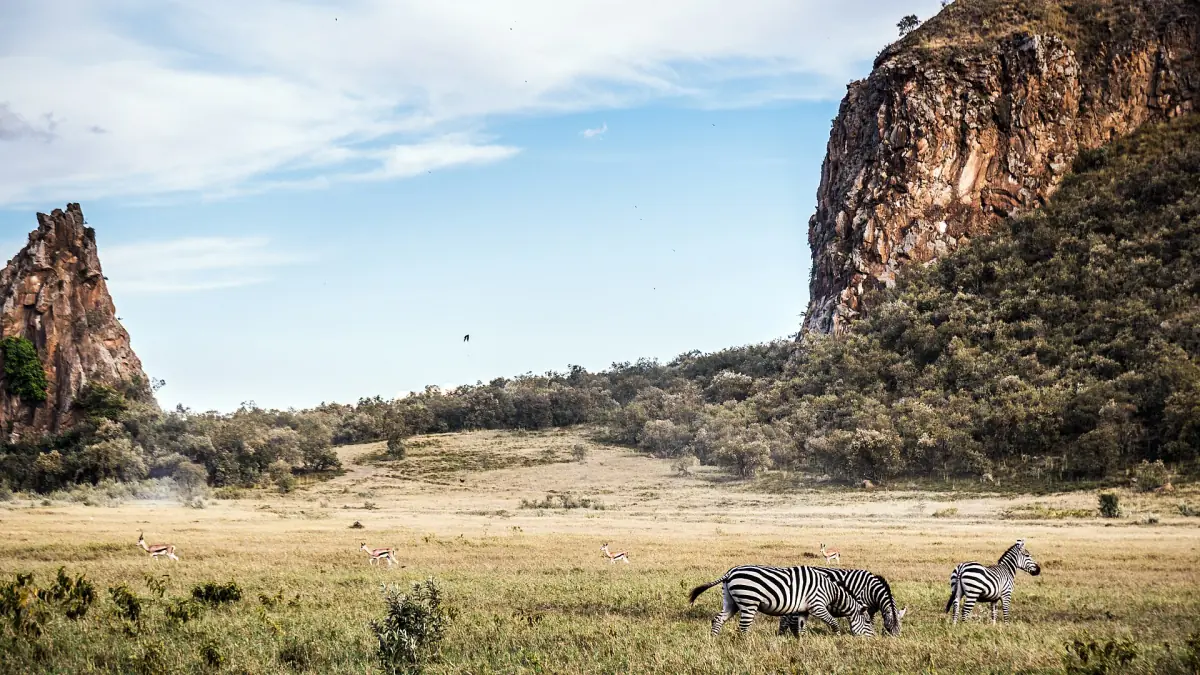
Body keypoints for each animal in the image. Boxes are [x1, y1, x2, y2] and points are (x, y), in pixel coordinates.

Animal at [688, 565, 873, 637]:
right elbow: (833, 622)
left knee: (718, 619)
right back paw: (746, 646)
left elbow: (801, 627)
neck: (831, 590)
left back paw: (714, 639)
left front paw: (801, 642)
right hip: (749, 602)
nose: (873, 639)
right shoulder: (817, 605)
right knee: (743, 628)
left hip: (731, 602)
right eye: (868, 622)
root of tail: (730, 572)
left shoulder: (803, 610)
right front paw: (837, 636)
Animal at [778, 567, 907, 636]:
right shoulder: (860, 602)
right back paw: (783, 634)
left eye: (900, 629)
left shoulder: (871, 609)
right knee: (786, 618)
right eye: (889, 628)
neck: (871, 590)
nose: (893, 642)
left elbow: (871, 621)